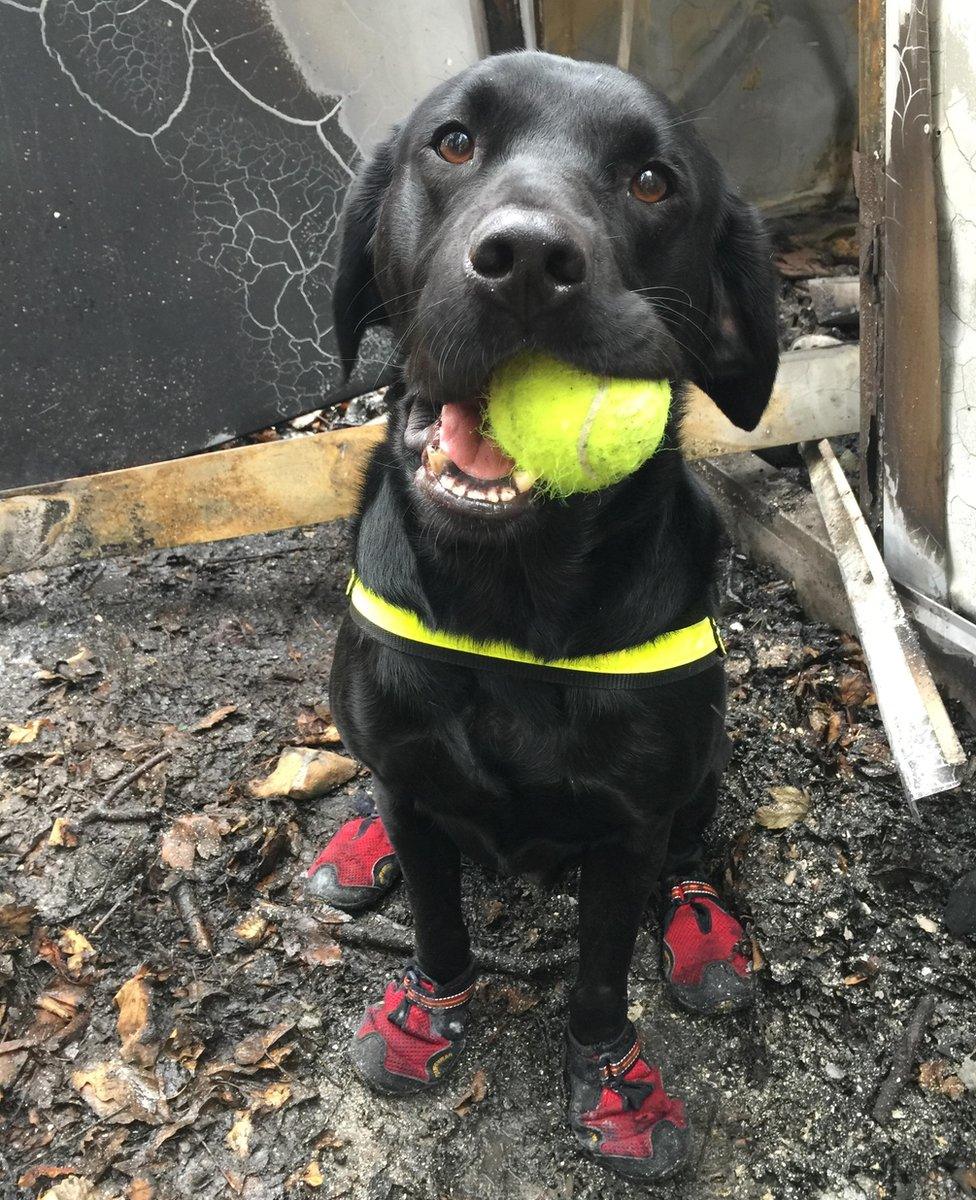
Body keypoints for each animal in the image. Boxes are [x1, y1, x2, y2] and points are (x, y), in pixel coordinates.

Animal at [326, 49, 777, 1180]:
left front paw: (611, 1084)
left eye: (653, 182)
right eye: (452, 142)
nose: (527, 258)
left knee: (691, 853)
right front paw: (427, 1018)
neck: (510, 612)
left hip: (702, 769)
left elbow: (601, 972)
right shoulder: (411, 779)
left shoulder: (626, 824)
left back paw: (700, 932)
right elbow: (437, 927)